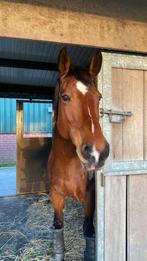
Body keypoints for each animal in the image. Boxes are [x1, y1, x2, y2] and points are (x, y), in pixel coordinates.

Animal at [47, 47, 109, 258]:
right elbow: (58, 229)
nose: (98, 152)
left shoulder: (89, 199)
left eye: (99, 97)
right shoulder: (56, 195)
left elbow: (89, 233)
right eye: (65, 97)